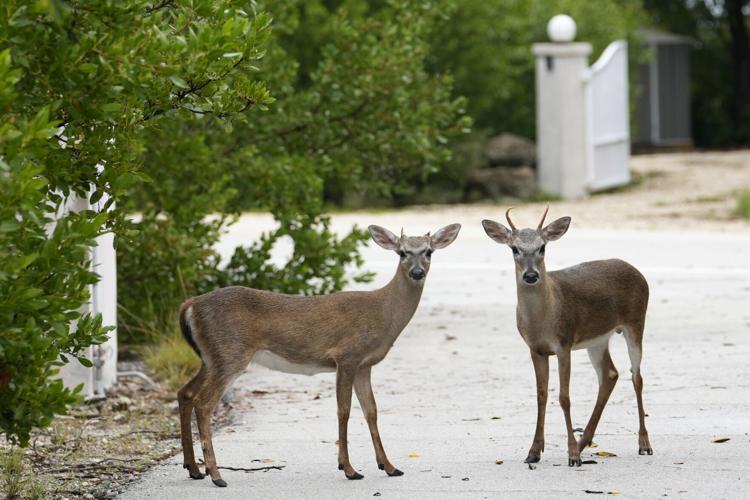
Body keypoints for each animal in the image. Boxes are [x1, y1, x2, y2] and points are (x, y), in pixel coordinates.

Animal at [176, 223, 461, 487]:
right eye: (402, 252)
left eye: (428, 251)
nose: (417, 272)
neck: (383, 314)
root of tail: (189, 305)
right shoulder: (346, 356)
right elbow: (343, 410)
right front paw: (349, 469)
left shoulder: (364, 364)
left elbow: (371, 411)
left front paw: (389, 466)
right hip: (231, 353)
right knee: (204, 403)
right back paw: (216, 475)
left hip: (211, 357)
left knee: (185, 393)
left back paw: (194, 469)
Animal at [481, 207, 652, 467]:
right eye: (514, 249)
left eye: (542, 247)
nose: (530, 275)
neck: (544, 318)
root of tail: (637, 271)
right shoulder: (536, 349)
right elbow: (541, 396)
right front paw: (534, 451)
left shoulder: (564, 342)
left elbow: (564, 397)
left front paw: (571, 455)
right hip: (598, 339)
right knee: (610, 374)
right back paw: (584, 443)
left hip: (636, 322)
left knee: (637, 377)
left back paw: (643, 444)